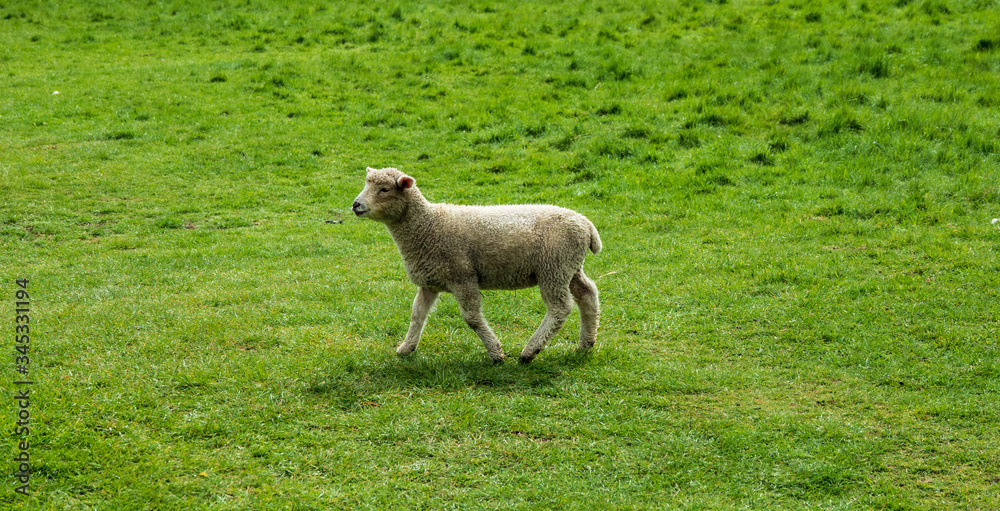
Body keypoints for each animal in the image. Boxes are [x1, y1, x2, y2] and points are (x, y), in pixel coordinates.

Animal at [352, 167, 602, 364]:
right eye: (367, 183)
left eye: (384, 189)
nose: (356, 205)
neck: (427, 225)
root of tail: (587, 225)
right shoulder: (429, 283)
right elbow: (417, 314)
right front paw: (406, 348)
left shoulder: (463, 276)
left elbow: (471, 318)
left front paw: (496, 353)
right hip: (569, 267)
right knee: (587, 293)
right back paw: (586, 344)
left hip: (554, 267)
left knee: (560, 308)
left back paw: (530, 351)